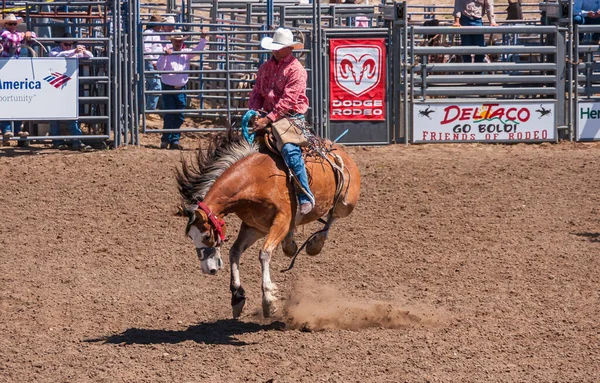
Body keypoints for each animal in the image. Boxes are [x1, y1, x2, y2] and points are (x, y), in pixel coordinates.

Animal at [175, 130, 360, 320]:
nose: (208, 269)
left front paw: (268, 301)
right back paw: (290, 244)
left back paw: (316, 243)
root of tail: (338, 148)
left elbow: (264, 253)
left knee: (332, 216)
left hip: (346, 203)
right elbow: (235, 252)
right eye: (190, 236)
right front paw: (237, 297)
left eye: (207, 235)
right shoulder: (255, 226)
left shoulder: (281, 220)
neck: (254, 180)